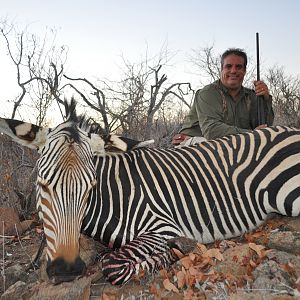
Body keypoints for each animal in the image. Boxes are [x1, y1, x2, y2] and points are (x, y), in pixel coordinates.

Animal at [0, 99, 298, 284]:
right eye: (42, 185)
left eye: (91, 187)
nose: (66, 270)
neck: (112, 194)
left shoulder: (162, 226)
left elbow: (113, 265)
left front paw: (176, 251)